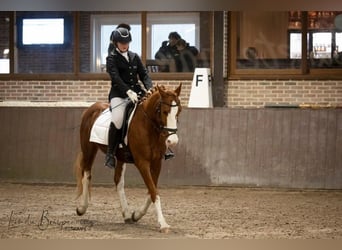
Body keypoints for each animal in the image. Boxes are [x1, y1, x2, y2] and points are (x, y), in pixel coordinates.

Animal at [74, 84, 182, 232]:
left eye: (178, 112)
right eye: (165, 112)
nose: (173, 141)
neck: (148, 126)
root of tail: (91, 108)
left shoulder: (156, 163)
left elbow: (151, 191)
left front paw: (136, 215)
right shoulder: (142, 163)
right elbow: (153, 191)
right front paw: (163, 223)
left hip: (120, 157)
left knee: (118, 181)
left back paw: (126, 214)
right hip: (88, 149)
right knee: (86, 174)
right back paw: (82, 208)